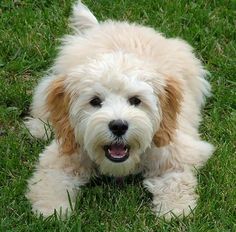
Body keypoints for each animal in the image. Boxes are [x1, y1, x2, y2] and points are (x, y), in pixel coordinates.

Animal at [25, 1, 214, 219]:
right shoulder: (63, 154)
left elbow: (176, 179)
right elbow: (51, 180)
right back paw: (40, 127)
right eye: (95, 101)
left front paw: (174, 209)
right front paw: (52, 209)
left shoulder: (177, 151)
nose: (118, 126)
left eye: (135, 100)